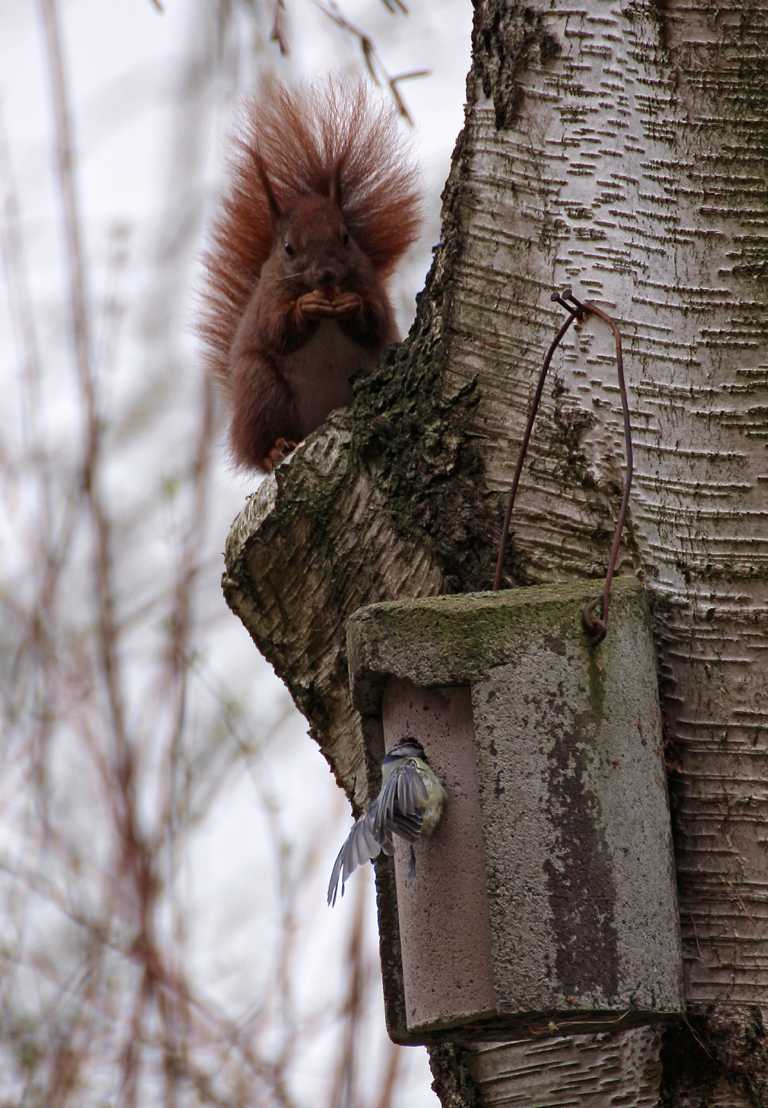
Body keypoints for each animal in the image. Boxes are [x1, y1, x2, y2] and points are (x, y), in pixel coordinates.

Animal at [199, 79, 421, 473]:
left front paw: (350, 305)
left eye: (346, 237)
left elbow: (375, 321)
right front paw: (306, 307)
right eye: (288, 248)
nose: (327, 276)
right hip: (262, 389)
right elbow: (277, 329)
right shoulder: (268, 300)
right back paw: (274, 450)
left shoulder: (370, 286)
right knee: (259, 447)